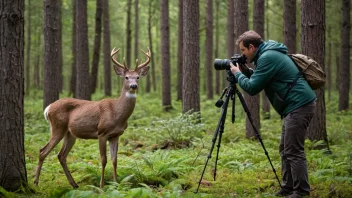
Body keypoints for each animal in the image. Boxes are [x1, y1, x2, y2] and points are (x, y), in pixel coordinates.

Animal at [34, 47, 151, 188]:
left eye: (138, 77)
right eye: (126, 77)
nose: (134, 86)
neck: (116, 113)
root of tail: (48, 108)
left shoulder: (115, 135)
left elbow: (115, 160)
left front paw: (116, 184)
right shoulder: (102, 133)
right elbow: (104, 160)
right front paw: (101, 186)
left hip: (70, 133)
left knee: (61, 155)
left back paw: (74, 184)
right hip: (58, 127)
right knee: (43, 151)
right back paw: (36, 182)